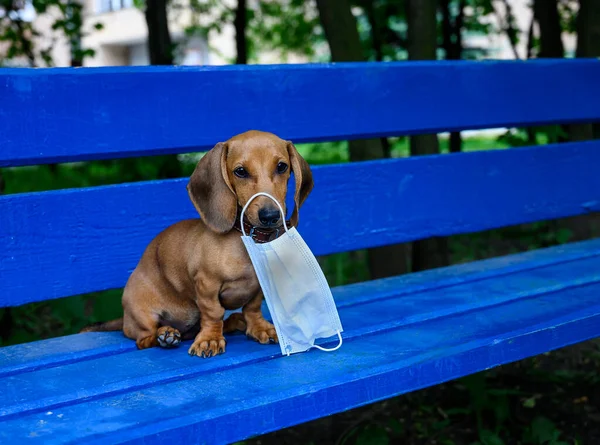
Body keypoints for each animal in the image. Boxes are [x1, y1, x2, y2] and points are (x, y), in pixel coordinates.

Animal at [82, 129, 316, 358]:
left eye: (282, 166)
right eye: (240, 171)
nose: (270, 215)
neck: (246, 239)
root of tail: (125, 319)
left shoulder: (258, 289)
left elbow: (252, 308)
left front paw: (260, 328)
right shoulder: (206, 285)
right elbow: (213, 313)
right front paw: (210, 339)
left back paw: (234, 322)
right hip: (142, 313)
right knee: (144, 339)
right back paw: (165, 335)